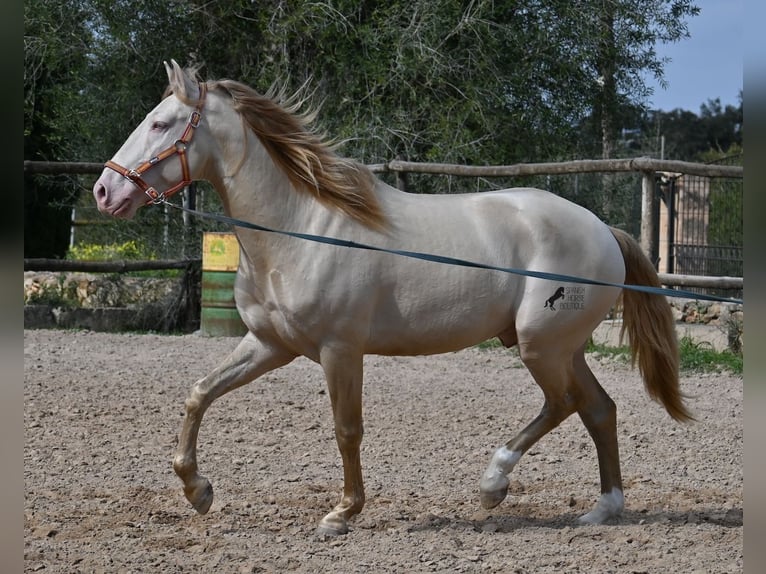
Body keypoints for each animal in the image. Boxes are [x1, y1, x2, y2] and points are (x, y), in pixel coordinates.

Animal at [93, 60, 692, 536]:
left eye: (161, 123)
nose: (105, 190)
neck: (300, 229)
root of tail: (602, 229)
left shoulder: (340, 350)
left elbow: (347, 429)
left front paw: (341, 514)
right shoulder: (268, 344)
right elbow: (199, 394)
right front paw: (198, 491)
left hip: (540, 346)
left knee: (564, 404)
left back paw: (493, 484)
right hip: (563, 347)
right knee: (598, 408)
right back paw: (602, 509)